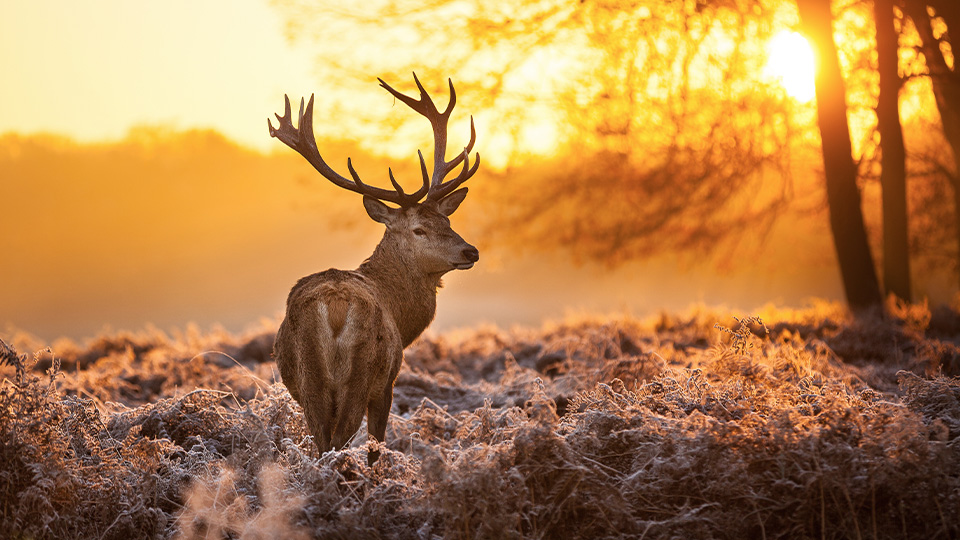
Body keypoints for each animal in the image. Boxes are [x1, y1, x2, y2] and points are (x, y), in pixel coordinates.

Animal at [267, 74, 480, 466]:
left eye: (447, 220)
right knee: (339, 442)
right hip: (361, 374)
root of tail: (335, 307)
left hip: (308, 381)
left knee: (321, 442)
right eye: (419, 229)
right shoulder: (388, 382)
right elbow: (376, 447)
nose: (470, 250)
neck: (401, 312)